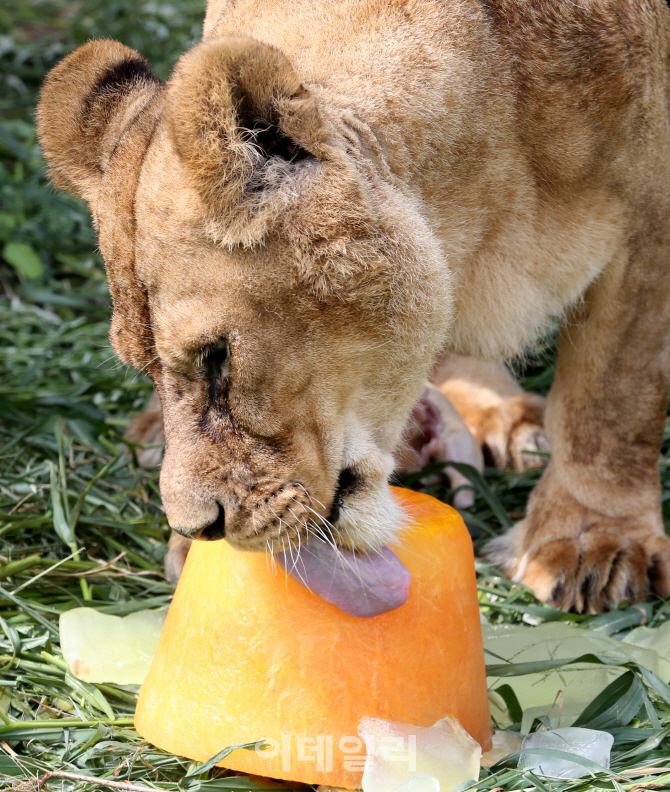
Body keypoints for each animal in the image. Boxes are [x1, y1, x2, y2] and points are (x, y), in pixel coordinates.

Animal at [38, 0, 670, 612]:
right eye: (143, 368)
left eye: (218, 359)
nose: (202, 528)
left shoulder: (650, 233)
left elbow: (614, 401)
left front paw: (593, 541)